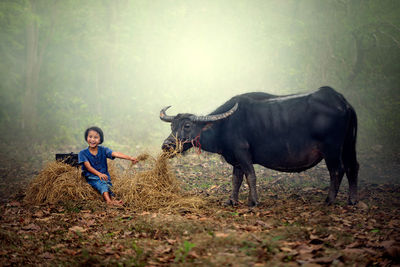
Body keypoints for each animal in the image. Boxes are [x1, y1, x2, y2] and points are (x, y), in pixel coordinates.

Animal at [159, 86, 360, 207]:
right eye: (172, 125)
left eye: (187, 125)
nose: (167, 145)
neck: (225, 124)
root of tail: (343, 102)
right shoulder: (235, 159)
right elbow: (236, 179)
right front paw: (232, 200)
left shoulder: (242, 153)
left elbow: (251, 176)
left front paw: (253, 201)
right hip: (349, 145)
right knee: (353, 167)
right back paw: (352, 200)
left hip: (332, 149)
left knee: (337, 170)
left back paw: (329, 200)